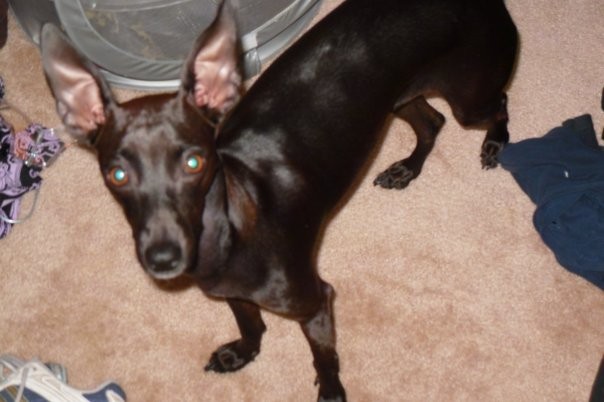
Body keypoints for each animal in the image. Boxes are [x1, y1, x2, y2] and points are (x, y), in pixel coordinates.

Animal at [40, 0, 516, 398]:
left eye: (194, 162)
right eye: (117, 174)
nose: (163, 258)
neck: (232, 226)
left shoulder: (317, 303)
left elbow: (325, 360)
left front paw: (331, 392)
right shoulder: (231, 294)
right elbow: (251, 324)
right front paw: (242, 354)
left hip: (469, 100)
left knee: (498, 105)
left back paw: (495, 144)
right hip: (398, 100)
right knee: (431, 123)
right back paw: (407, 169)